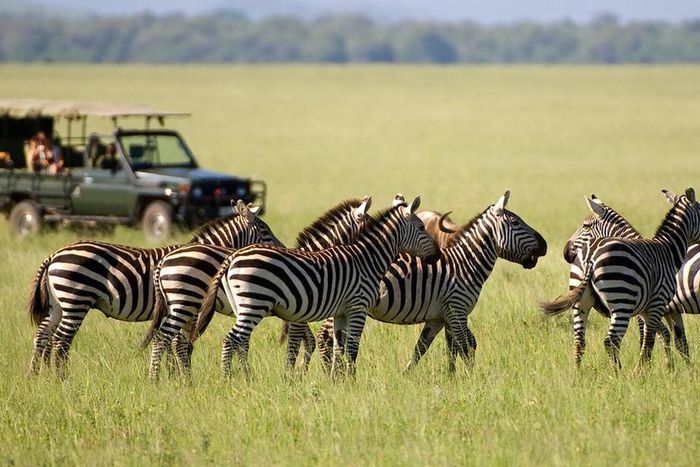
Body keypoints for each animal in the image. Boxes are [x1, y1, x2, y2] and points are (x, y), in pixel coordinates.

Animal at [27, 200, 280, 376]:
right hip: (76, 299)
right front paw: (177, 376)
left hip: (59, 303)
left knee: (43, 335)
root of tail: (53, 256)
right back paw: (62, 378)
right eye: (265, 231)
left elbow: (177, 344)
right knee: (61, 340)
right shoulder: (187, 305)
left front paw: (173, 376)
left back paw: (36, 376)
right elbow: (179, 344)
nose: (282, 249)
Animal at [144, 196, 372, 379]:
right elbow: (303, 342)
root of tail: (164, 260)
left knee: (176, 340)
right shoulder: (299, 315)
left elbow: (308, 342)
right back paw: (166, 378)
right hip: (186, 301)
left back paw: (180, 377)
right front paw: (294, 376)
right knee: (169, 339)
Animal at [192, 195, 440, 376]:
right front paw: (345, 379)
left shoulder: (340, 312)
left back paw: (242, 377)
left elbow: (337, 347)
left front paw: (337, 380)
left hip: (242, 307)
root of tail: (233, 257)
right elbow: (348, 348)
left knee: (239, 341)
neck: (366, 258)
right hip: (252, 304)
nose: (437, 255)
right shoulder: (356, 308)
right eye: (421, 227)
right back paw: (226, 379)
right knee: (231, 340)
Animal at [317, 191, 547, 373]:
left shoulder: (440, 317)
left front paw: (437, 377)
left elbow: (431, 348)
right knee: (324, 337)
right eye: (516, 222)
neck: (465, 264)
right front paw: (471, 380)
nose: (544, 245)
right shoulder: (457, 309)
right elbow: (466, 346)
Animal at [541, 188, 700, 370]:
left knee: (581, 341)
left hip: (588, 302)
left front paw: (670, 369)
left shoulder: (653, 308)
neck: (668, 251)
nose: (566, 252)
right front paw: (660, 369)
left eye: (586, 226)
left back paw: (581, 374)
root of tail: (590, 257)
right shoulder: (658, 306)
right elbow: (660, 338)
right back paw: (617, 374)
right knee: (609, 341)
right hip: (619, 301)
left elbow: (663, 337)